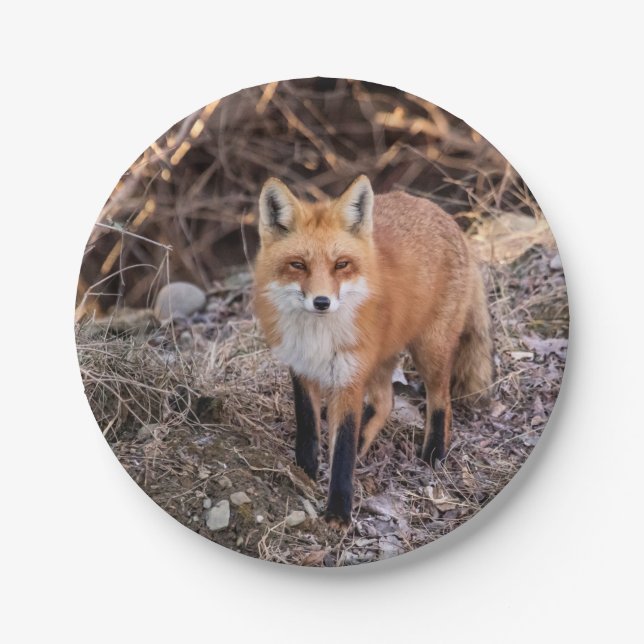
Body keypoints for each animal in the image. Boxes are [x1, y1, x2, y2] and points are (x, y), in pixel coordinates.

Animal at [253, 175, 493, 527]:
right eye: (298, 265)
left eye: (341, 265)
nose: (322, 302)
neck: (318, 337)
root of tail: (443, 215)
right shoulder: (301, 368)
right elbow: (309, 427)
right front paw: (305, 471)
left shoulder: (349, 379)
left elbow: (342, 450)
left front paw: (338, 513)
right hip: (381, 357)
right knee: (385, 402)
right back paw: (365, 441)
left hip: (429, 349)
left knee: (441, 400)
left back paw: (434, 454)